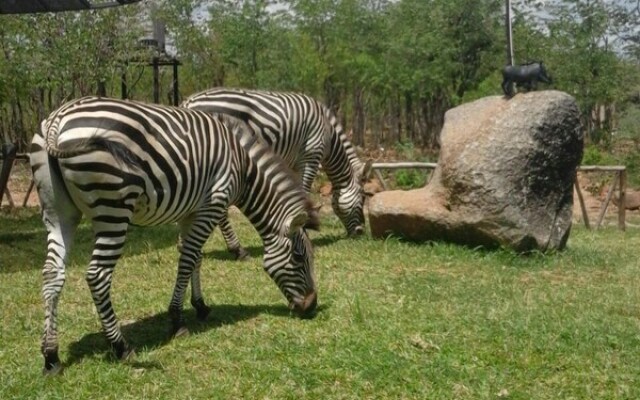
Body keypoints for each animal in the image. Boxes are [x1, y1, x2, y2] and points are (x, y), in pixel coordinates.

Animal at [30, 97, 320, 376]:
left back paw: (51, 357)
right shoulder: (213, 205)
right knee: (97, 276)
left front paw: (200, 306)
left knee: (52, 273)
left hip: (59, 213)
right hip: (113, 208)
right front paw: (177, 320)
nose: (312, 306)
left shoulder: (190, 211)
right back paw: (121, 346)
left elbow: (195, 258)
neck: (243, 167)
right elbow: (188, 260)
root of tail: (58, 119)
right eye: (298, 257)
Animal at [181, 88, 370, 260]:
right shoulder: (311, 156)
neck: (329, 134)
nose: (360, 232)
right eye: (363, 198)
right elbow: (304, 191)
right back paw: (238, 250)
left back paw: (183, 243)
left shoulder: (293, 164)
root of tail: (189, 102)